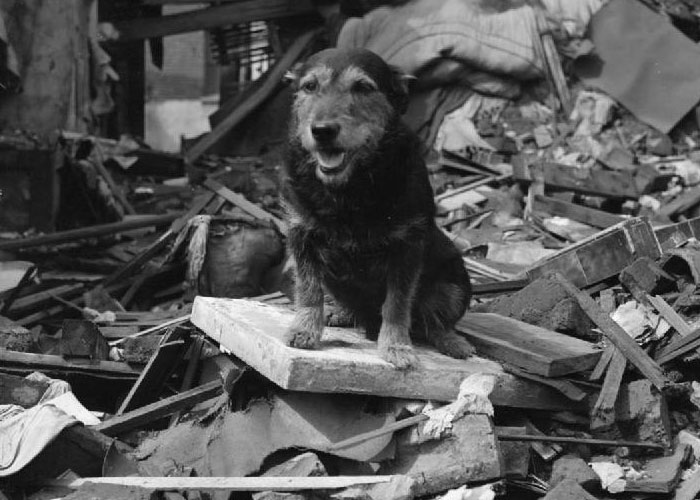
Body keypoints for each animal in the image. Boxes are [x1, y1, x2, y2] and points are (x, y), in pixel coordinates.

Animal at [282, 47, 474, 368]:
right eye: (309, 86)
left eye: (362, 87)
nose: (322, 130)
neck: (350, 187)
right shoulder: (301, 235)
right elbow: (308, 290)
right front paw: (304, 329)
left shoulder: (408, 247)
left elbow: (397, 304)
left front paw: (396, 346)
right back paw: (339, 313)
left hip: (455, 283)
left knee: (435, 322)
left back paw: (452, 342)